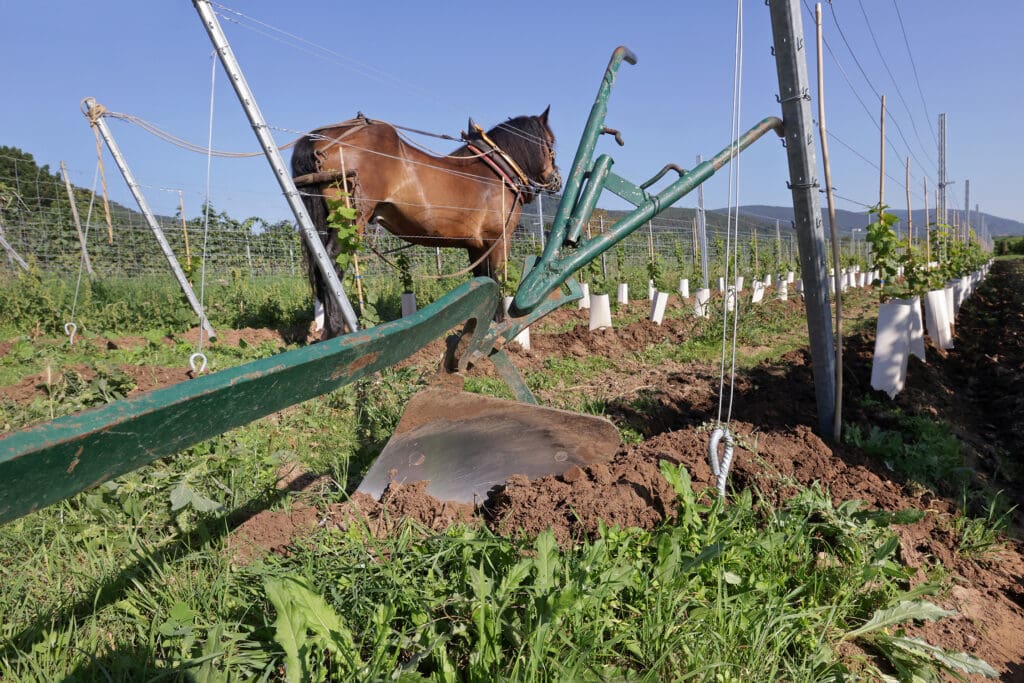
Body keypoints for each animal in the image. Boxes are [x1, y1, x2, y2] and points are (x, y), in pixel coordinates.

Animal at [291, 108, 561, 339]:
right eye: (551, 142)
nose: (556, 179)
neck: (496, 174)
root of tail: (321, 138)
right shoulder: (498, 241)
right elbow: (496, 281)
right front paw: (498, 327)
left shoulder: (476, 247)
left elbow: (482, 281)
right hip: (350, 222)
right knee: (332, 265)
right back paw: (336, 331)